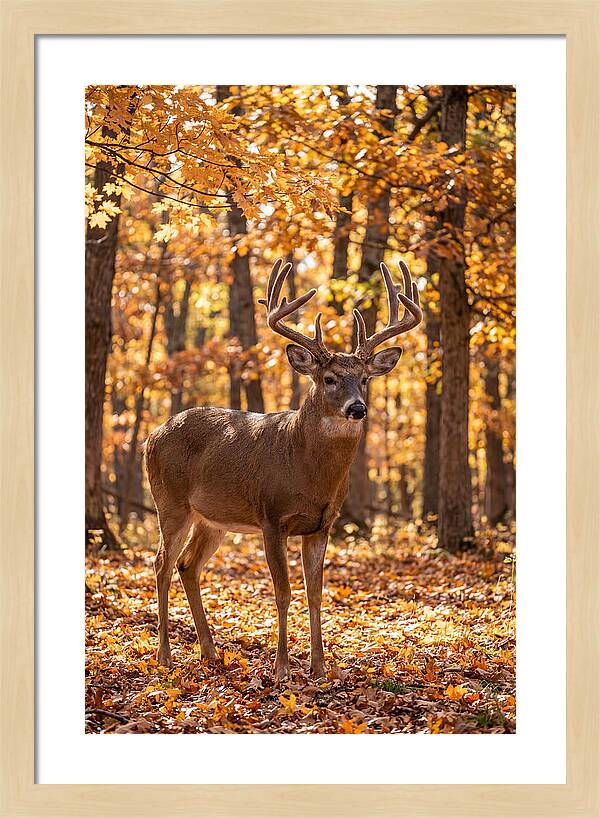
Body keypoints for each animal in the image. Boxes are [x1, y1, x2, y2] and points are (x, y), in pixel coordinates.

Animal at [144, 258, 422, 680]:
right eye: (329, 378)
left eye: (364, 379)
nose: (358, 408)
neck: (307, 470)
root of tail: (151, 436)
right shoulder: (272, 517)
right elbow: (283, 591)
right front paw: (281, 669)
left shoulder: (322, 525)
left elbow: (315, 593)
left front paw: (320, 667)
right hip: (170, 502)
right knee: (161, 563)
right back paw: (164, 655)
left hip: (212, 518)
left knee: (187, 565)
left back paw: (209, 651)